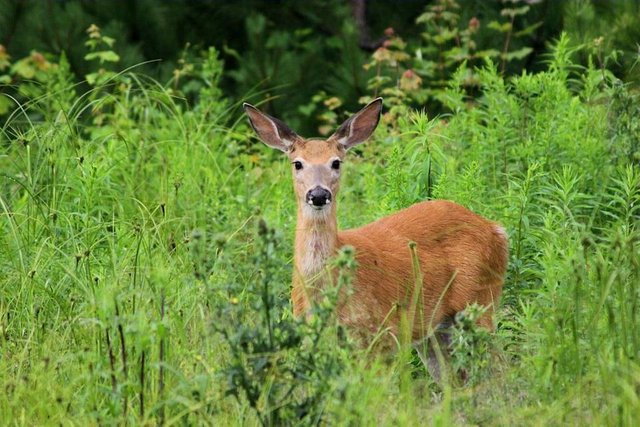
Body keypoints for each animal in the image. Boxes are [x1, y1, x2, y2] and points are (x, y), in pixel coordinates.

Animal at [242, 98, 508, 352]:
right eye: (297, 163)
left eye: (336, 162)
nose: (318, 194)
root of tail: (496, 230)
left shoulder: (381, 334)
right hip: (436, 331)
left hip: (480, 301)